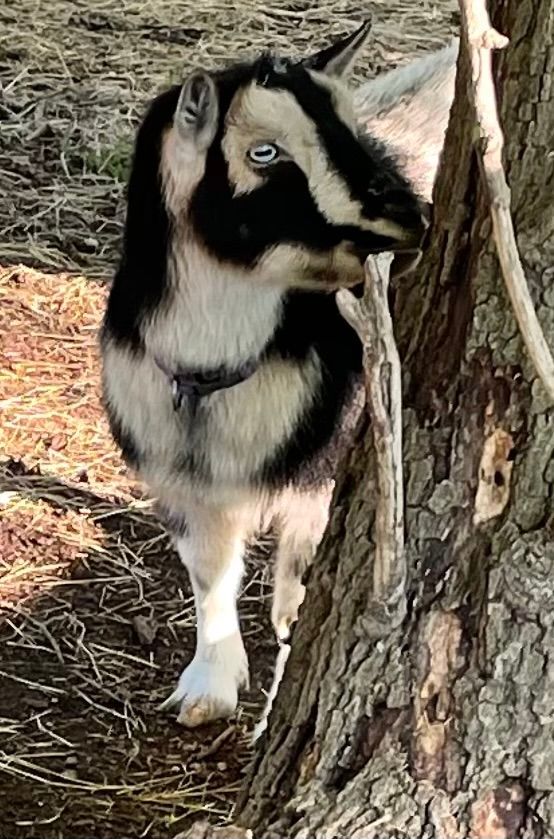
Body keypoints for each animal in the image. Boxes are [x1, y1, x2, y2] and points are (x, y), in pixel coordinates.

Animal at [100, 24, 457, 730]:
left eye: (353, 127)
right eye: (264, 153)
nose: (415, 220)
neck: (214, 373)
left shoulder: (327, 476)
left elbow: (296, 599)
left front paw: (275, 709)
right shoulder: (181, 478)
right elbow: (209, 572)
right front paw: (208, 688)